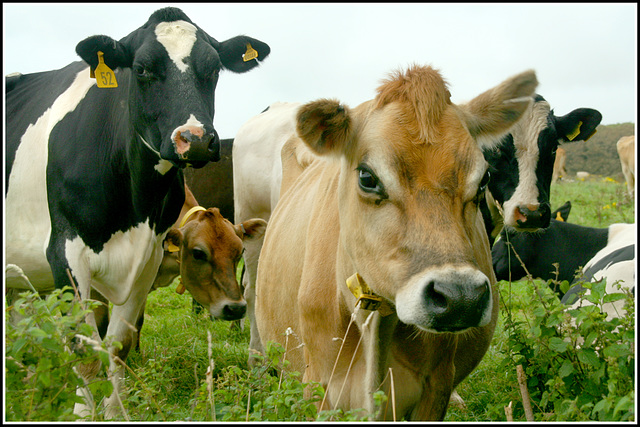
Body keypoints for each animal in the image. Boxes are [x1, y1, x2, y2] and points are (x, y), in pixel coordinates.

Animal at [5, 6, 270, 420]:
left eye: (213, 69)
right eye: (142, 69)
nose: (195, 139)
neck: (134, 201)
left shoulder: (147, 259)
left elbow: (118, 346)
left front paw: (115, 411)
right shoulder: (66, 255)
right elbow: (85, 349)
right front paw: (83, 412)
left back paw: (28, 377)